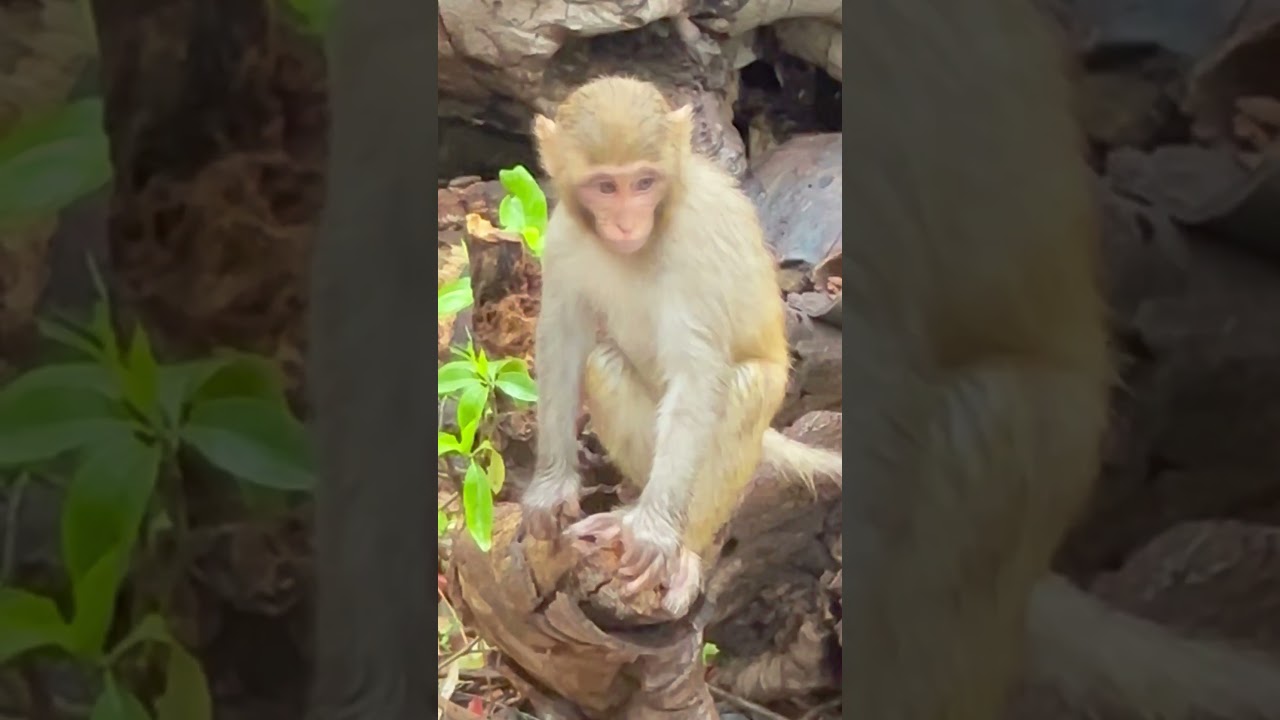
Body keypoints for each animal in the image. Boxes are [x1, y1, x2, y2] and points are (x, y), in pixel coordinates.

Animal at [519, 75, 843, 616]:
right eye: (605, 187)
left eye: (643, 183)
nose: (626, 223)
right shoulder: (562, 235)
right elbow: (563, 340)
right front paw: (551, 487)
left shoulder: (697, 245)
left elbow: (698, 377)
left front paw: (654, 533)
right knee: (603, 364)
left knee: (746, 387)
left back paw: (683, 545)